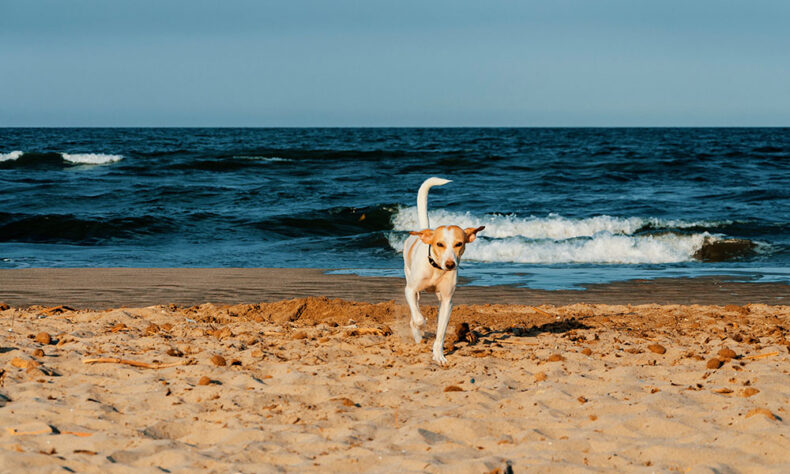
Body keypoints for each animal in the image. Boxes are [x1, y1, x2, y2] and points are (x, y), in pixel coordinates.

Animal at [406, 176, 486, 364]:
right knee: (415, 311)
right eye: (440, 244)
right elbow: (418, 317)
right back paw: (418, 335)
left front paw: (439, 355)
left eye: (459, 244)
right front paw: (421, 325)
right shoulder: (410, 290)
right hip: (412, 284)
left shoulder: (447, 301)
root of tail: (424, 230)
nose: (450, 265)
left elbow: (441, 332)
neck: (436, 268)